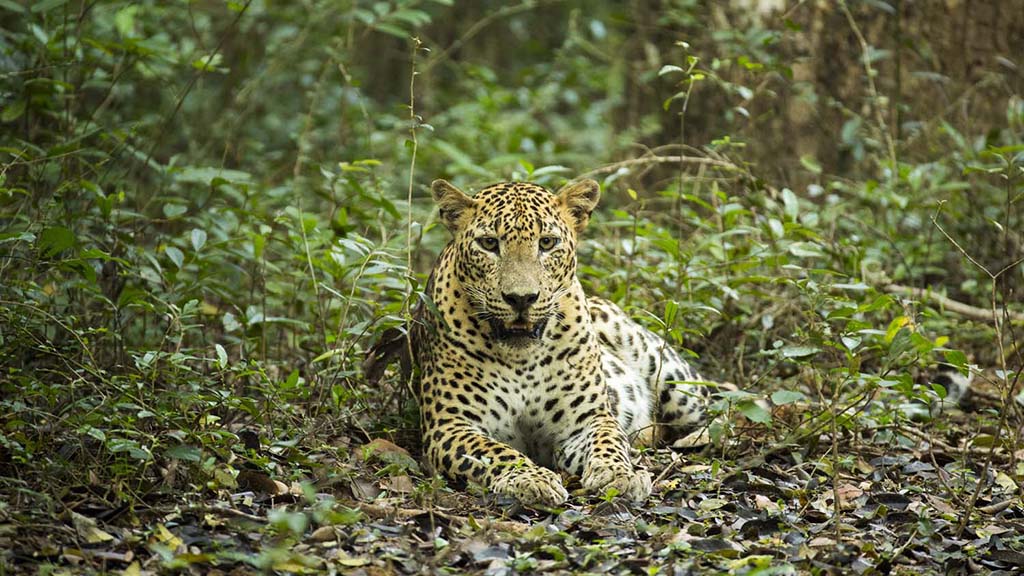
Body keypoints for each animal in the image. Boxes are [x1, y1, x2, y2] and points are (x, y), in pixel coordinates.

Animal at [395, 177, 716, 504]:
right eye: (489, 244)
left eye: (547, 243)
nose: (521, 298)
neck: (521, 359)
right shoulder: (450, 425)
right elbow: (494, 451)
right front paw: (530, 478)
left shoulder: (588, 419)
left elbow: (608, 439)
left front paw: (619, 474)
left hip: (674, 380)